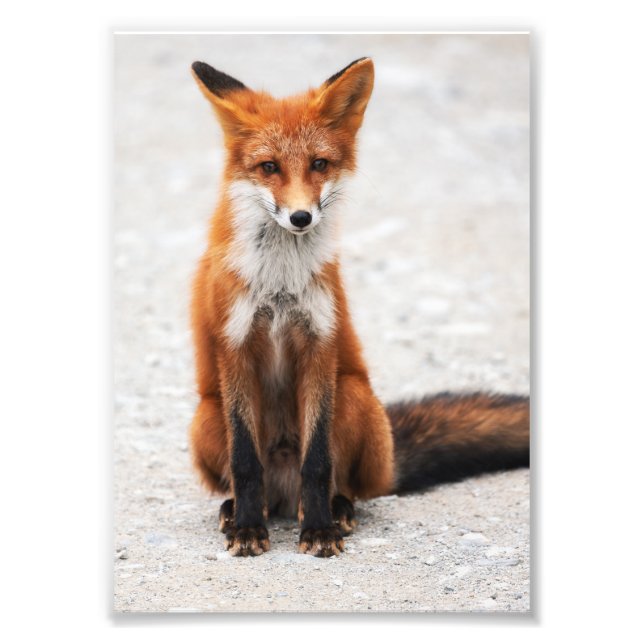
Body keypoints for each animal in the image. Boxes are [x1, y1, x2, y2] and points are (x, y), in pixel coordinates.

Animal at [189, 57, 529, 558]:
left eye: (319, 164)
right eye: (269, 167)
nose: (301, 217)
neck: (280, 285)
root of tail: (283, 496)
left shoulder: (320, 344)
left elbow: (318, 461)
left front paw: (320, 530)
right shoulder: (235, 346)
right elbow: (246, 461)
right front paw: (249, 528)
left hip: (353, 396)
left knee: (342, 482)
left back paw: (336, 509)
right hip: (205, 418)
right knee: (247, 478)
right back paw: (238, 510)